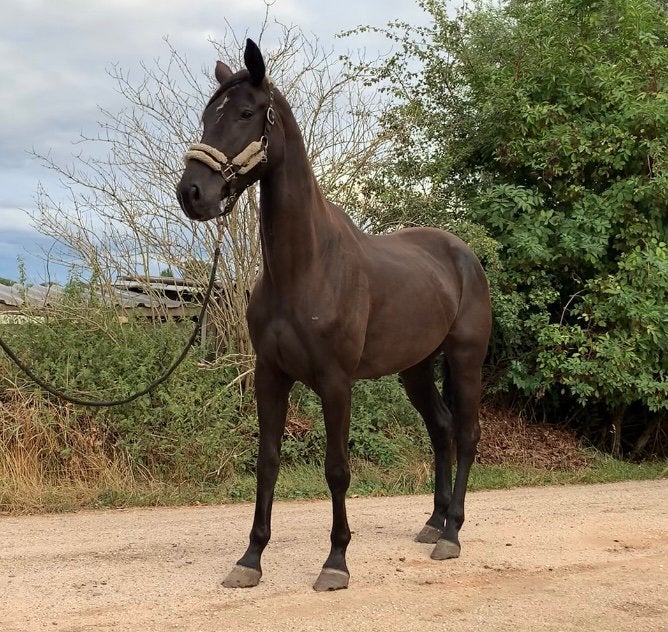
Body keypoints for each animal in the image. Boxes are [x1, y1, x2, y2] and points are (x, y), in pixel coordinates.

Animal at [177, 39, 491, 592]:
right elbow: (268, 461)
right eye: (205, 117)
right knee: (441, 428)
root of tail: (464, 256)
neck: (304, 268)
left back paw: (452, 532)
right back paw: (433, 523)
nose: (192, 193)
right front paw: (250, 558)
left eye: (245, 113)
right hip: (415, 369)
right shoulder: (271, 375)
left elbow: (337, 468)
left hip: (465, 358)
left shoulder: (335, 381)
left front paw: (336, 561)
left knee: (467, 433)